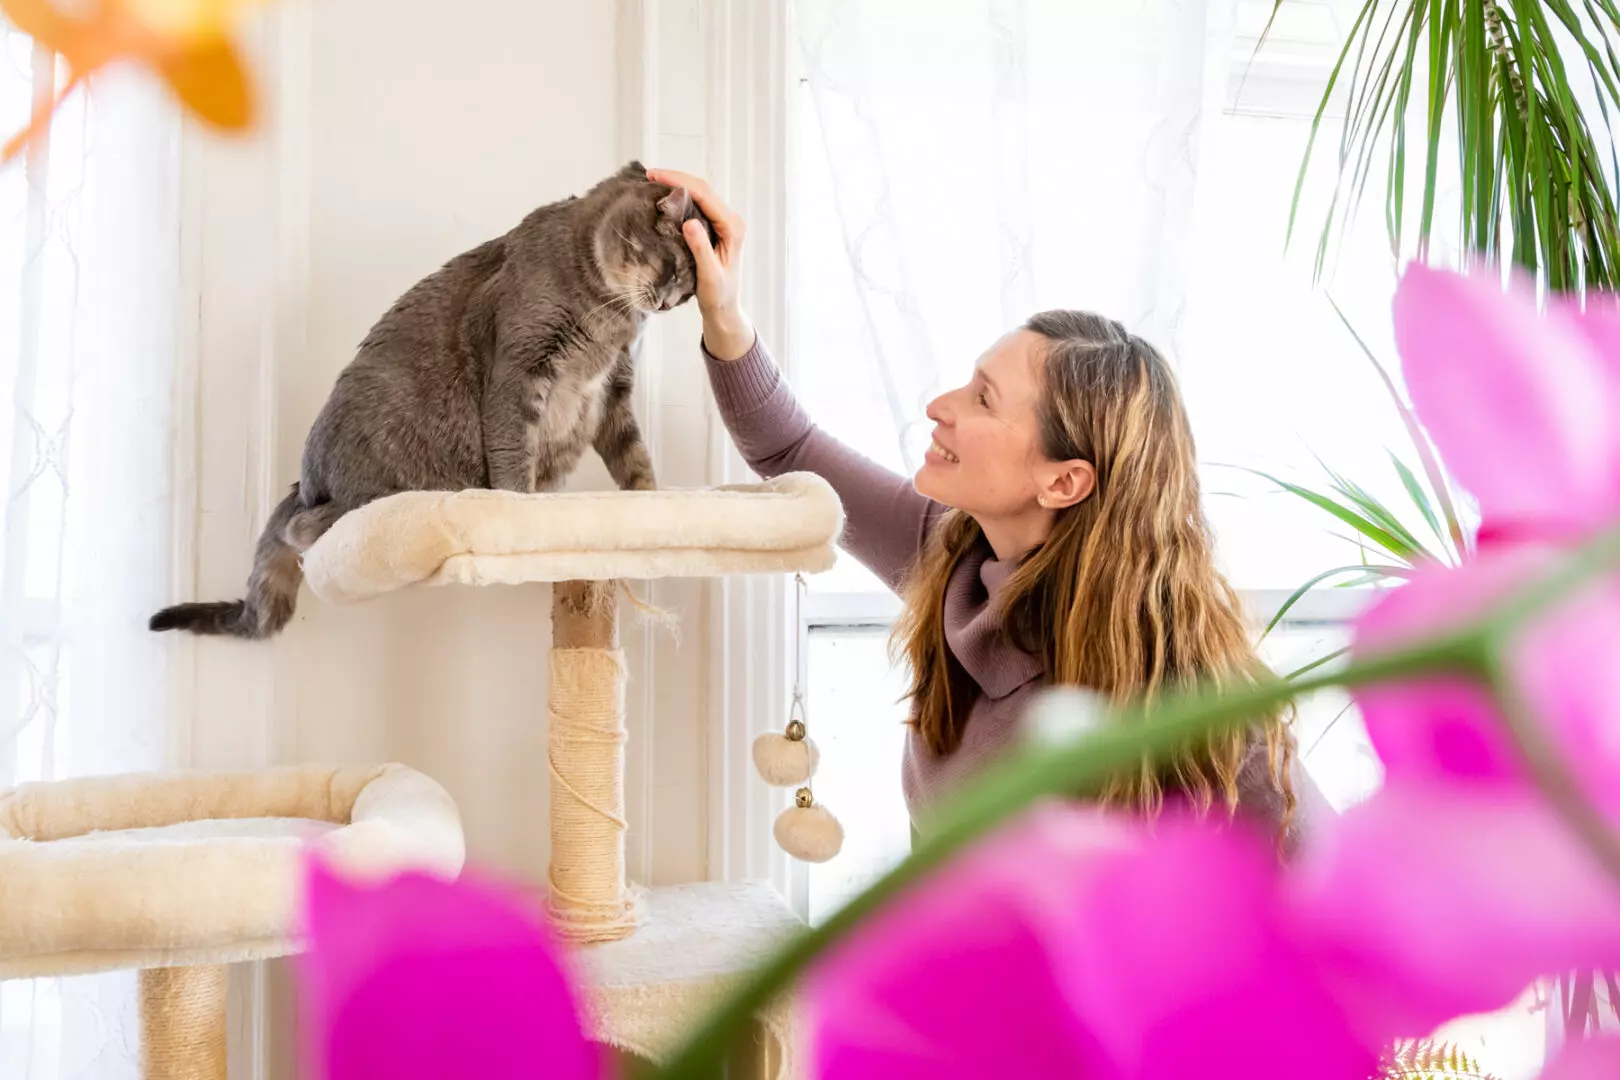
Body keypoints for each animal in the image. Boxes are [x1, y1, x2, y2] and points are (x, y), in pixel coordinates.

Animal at [153, 160, 716, 641]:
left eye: (691, 294)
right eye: (672, 268)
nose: (668, 303)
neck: (608, 317)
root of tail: (304, 487)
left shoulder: (611, 390)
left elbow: (634, 456)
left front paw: (654, 507)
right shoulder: (519, 370)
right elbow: (514, 454)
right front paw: (522, 511)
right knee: (305, 528)